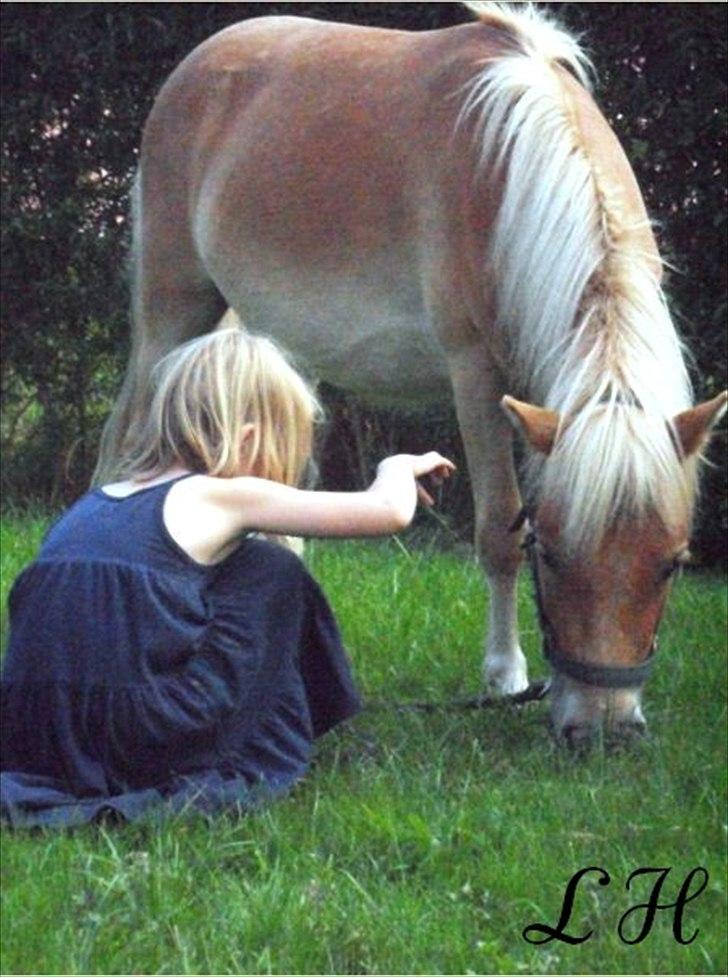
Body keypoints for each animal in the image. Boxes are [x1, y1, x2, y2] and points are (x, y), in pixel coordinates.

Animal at [95, 3, 724, 744]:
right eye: (550, 552)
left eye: (672, 564)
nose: (604, 729)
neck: (507, 173)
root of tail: (201, 64)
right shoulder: (477, 374)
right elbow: (497, 529)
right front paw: (505, 678)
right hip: (174, 309)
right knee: (127, 440)